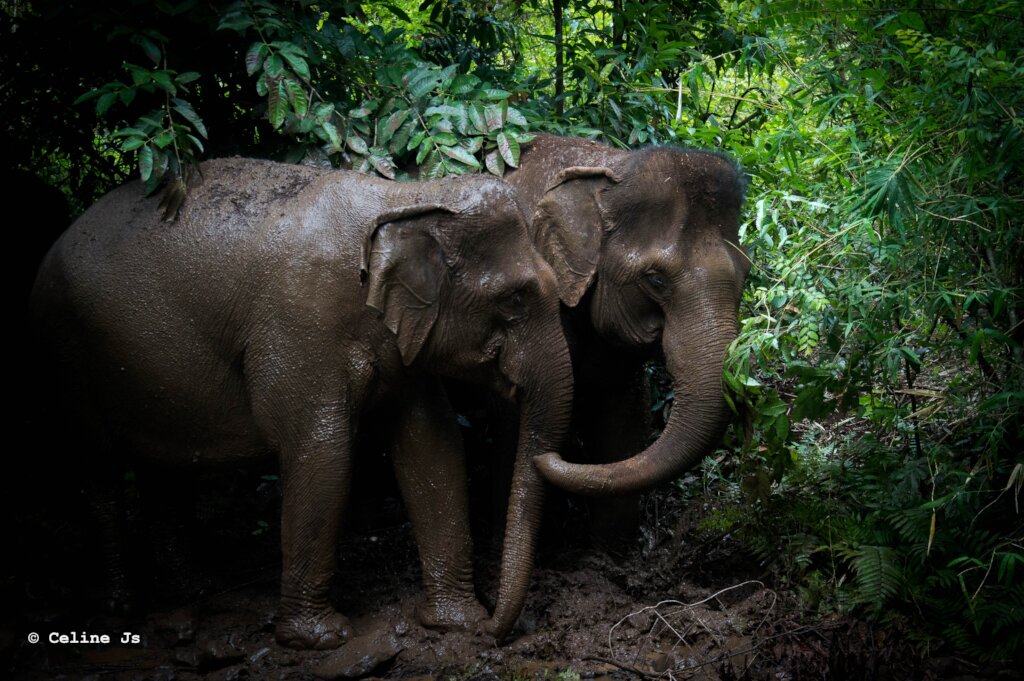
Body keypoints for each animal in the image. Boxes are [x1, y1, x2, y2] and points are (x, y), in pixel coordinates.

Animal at [30, 157, 572, 649]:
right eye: (514, 299)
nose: (493, 634)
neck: (403, 199)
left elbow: (431, 445)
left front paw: (455, 622)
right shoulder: (299, 324)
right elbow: (320, 449)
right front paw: (322, 638)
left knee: (164, 469)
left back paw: (189, 592)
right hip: (65, 349)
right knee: (98, 467)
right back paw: (121, 604)